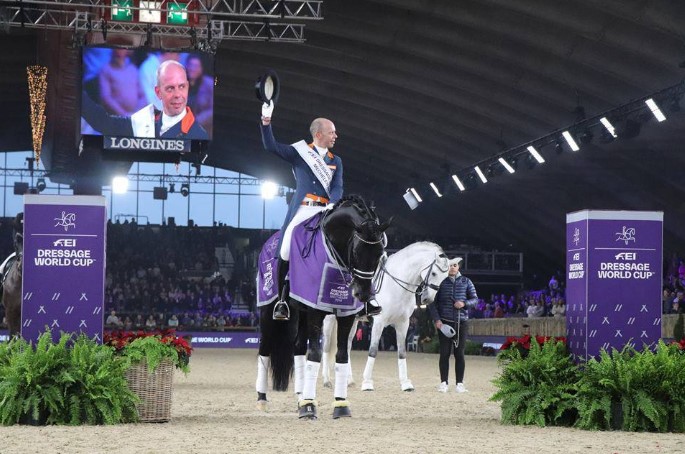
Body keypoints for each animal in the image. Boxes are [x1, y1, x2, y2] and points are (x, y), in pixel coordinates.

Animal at [254, 195, 388, 418]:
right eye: (356, 251)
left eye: (379, 254)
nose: (362, 294)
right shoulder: (315, 312)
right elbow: (315, 354)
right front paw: (309, 406)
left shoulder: (346, 315)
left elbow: (341, 355)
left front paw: (340, 405)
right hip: (268, 310)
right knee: (265, 348)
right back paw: (262, 400)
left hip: (301, 313)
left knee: (298, 349)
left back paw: (300, 397)